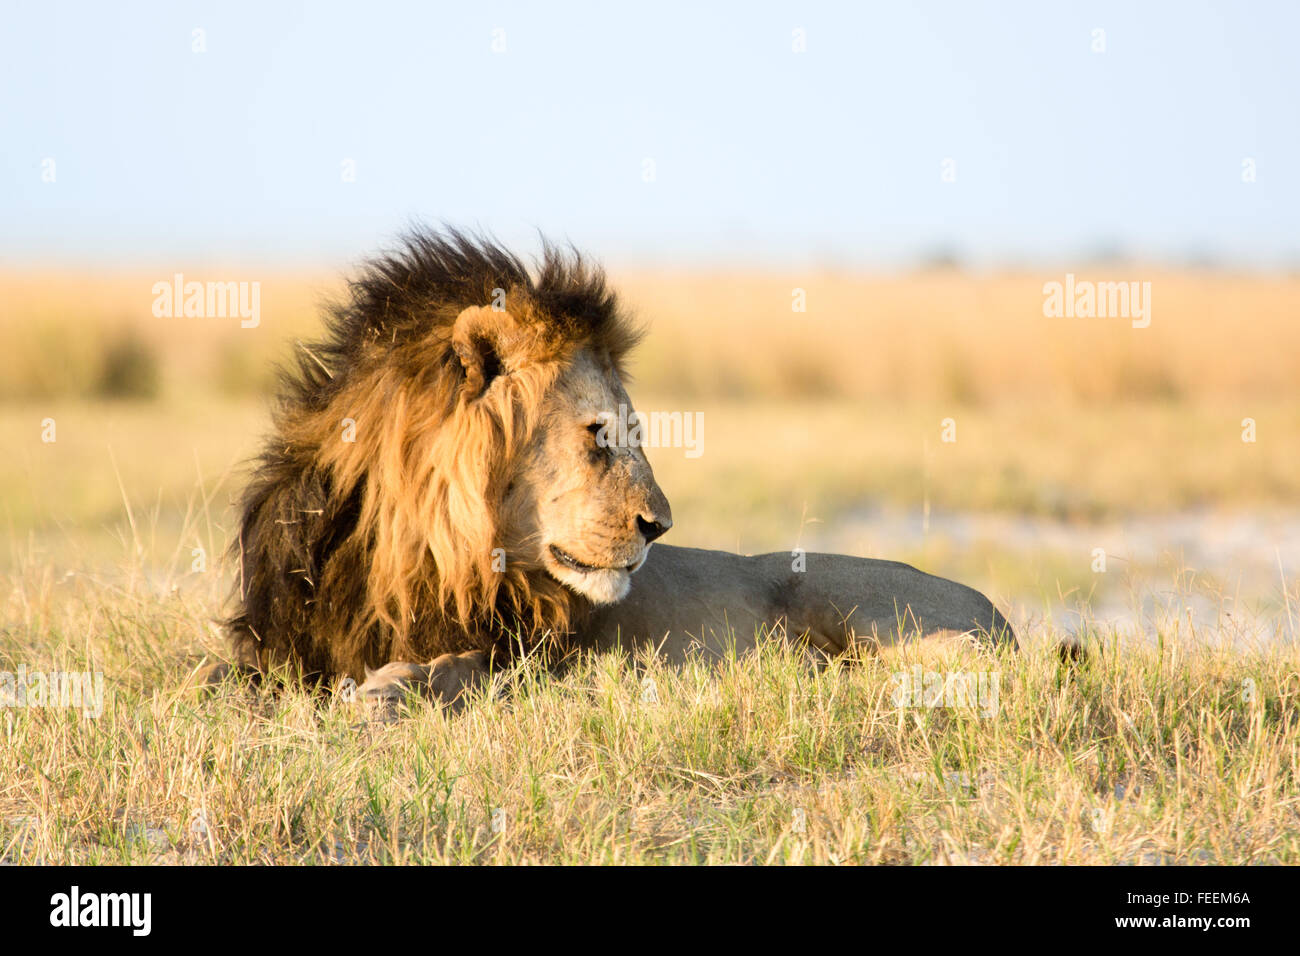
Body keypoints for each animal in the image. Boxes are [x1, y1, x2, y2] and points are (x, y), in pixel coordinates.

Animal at [219, 228, 1014, 709]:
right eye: (598, 432)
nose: (660, 526)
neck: (413, 548)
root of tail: (997, 612)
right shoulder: (274, 644)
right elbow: (216, 675)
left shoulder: (532, 658)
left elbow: (453, 667)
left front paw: (386, 694)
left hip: (855, 598)